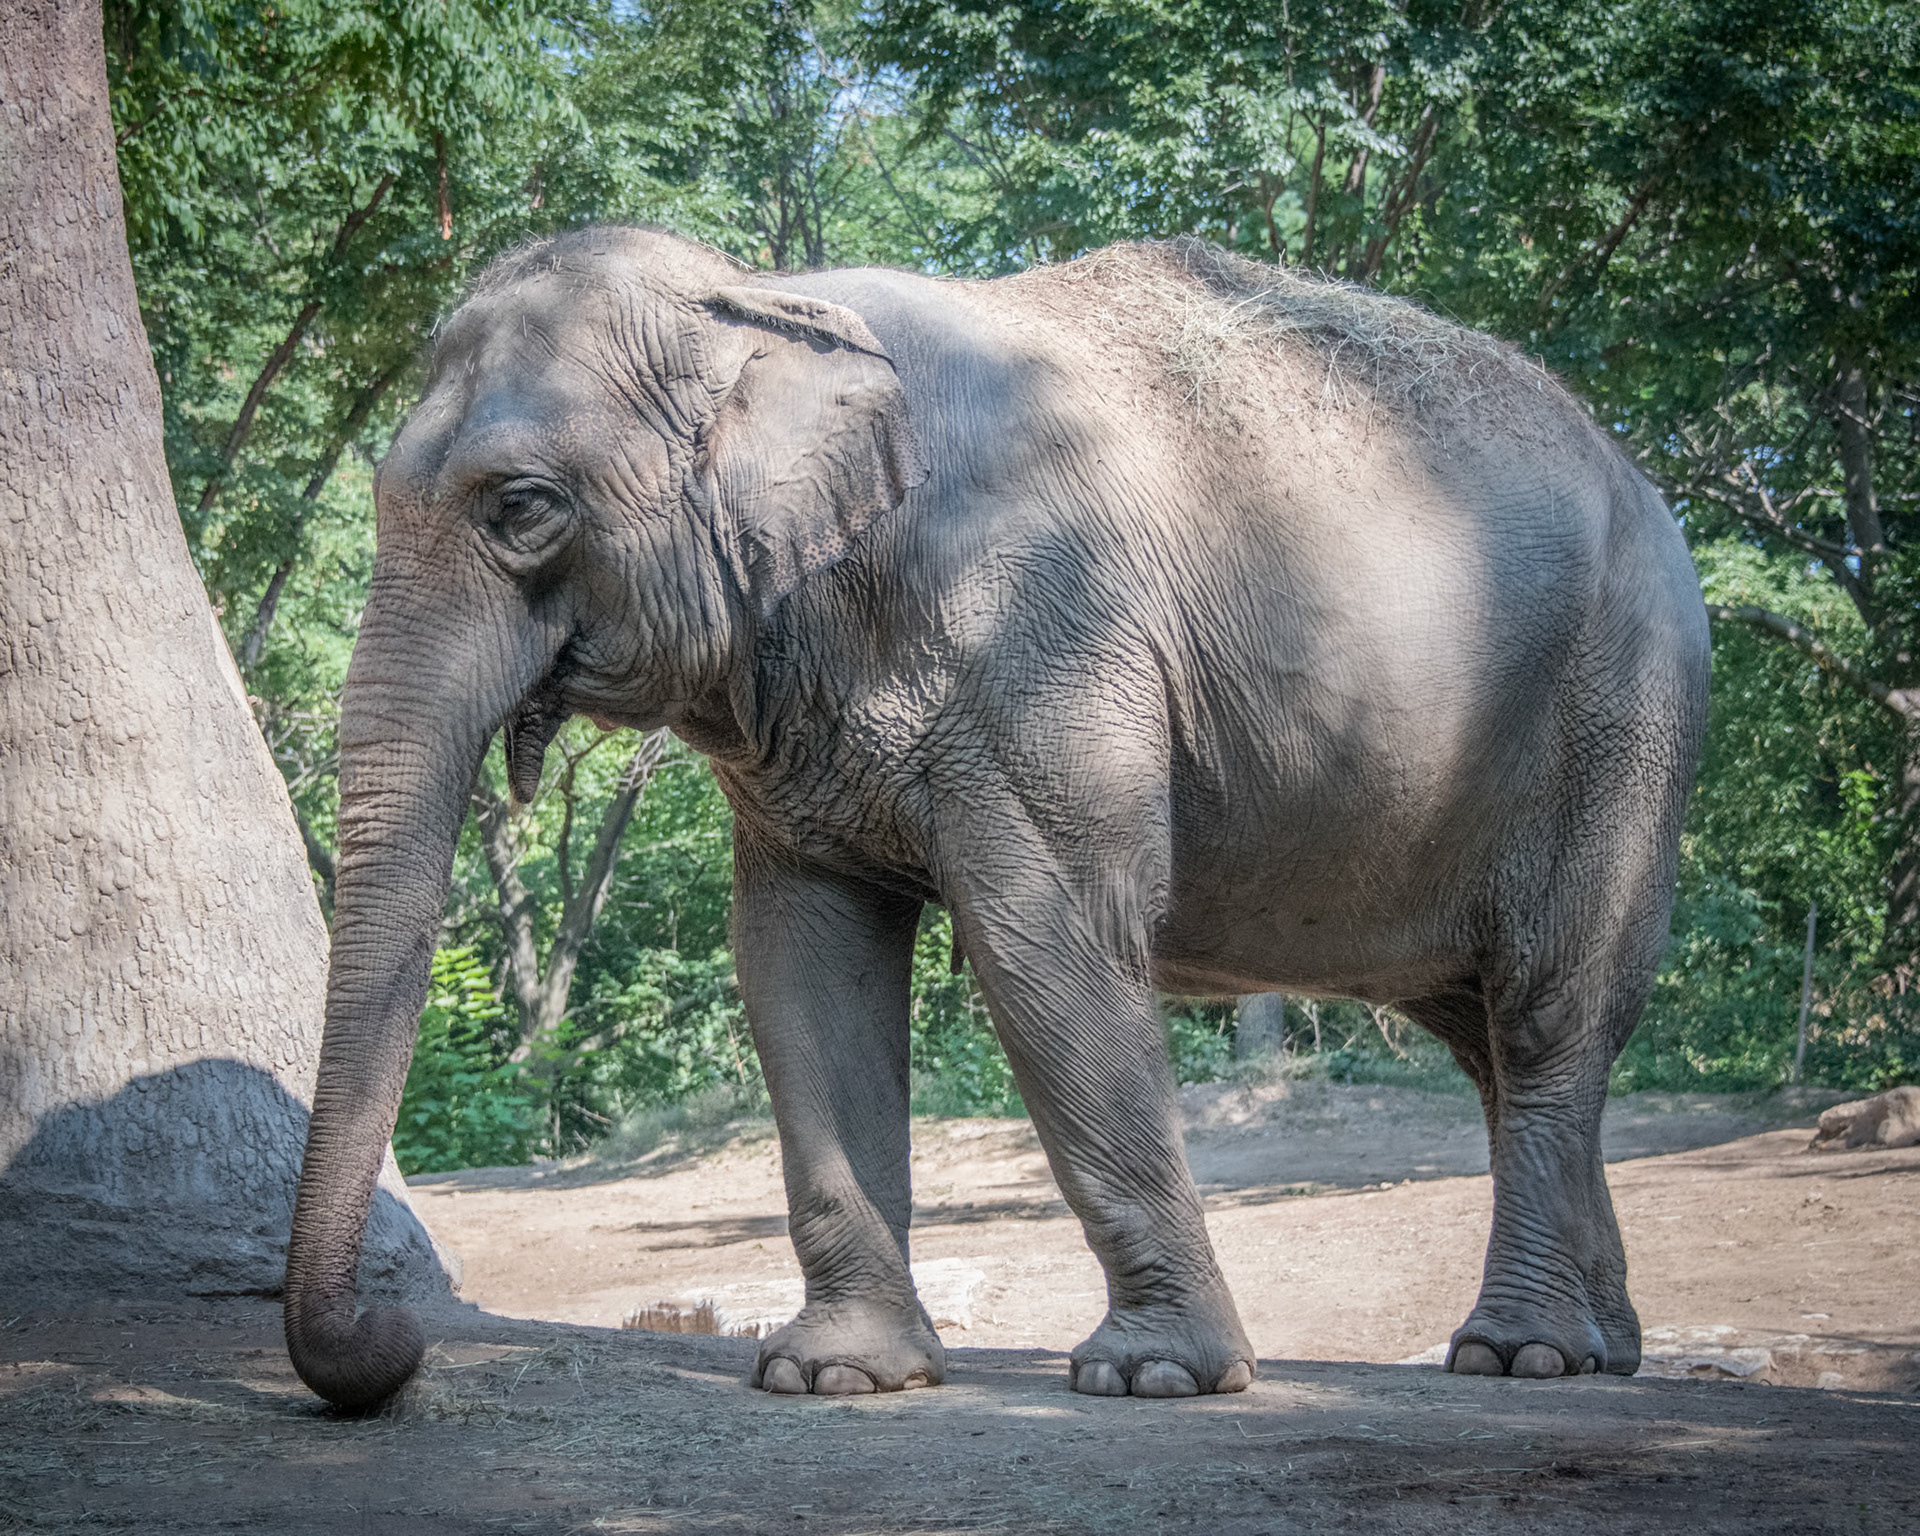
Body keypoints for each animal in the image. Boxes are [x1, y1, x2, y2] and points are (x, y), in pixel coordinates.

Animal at [282, 227, 1710, 1410]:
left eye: (522, 507)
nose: (395, 1348)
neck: (762, 297)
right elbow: (798, 965)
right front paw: (836, 1378)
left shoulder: (1044, 636)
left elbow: (1048, 945)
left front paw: (1154, 1380)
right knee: (1497, 1042)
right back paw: (1605, 1349)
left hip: (1618, 726)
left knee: (1549, 1010)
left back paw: (1520, 1356)